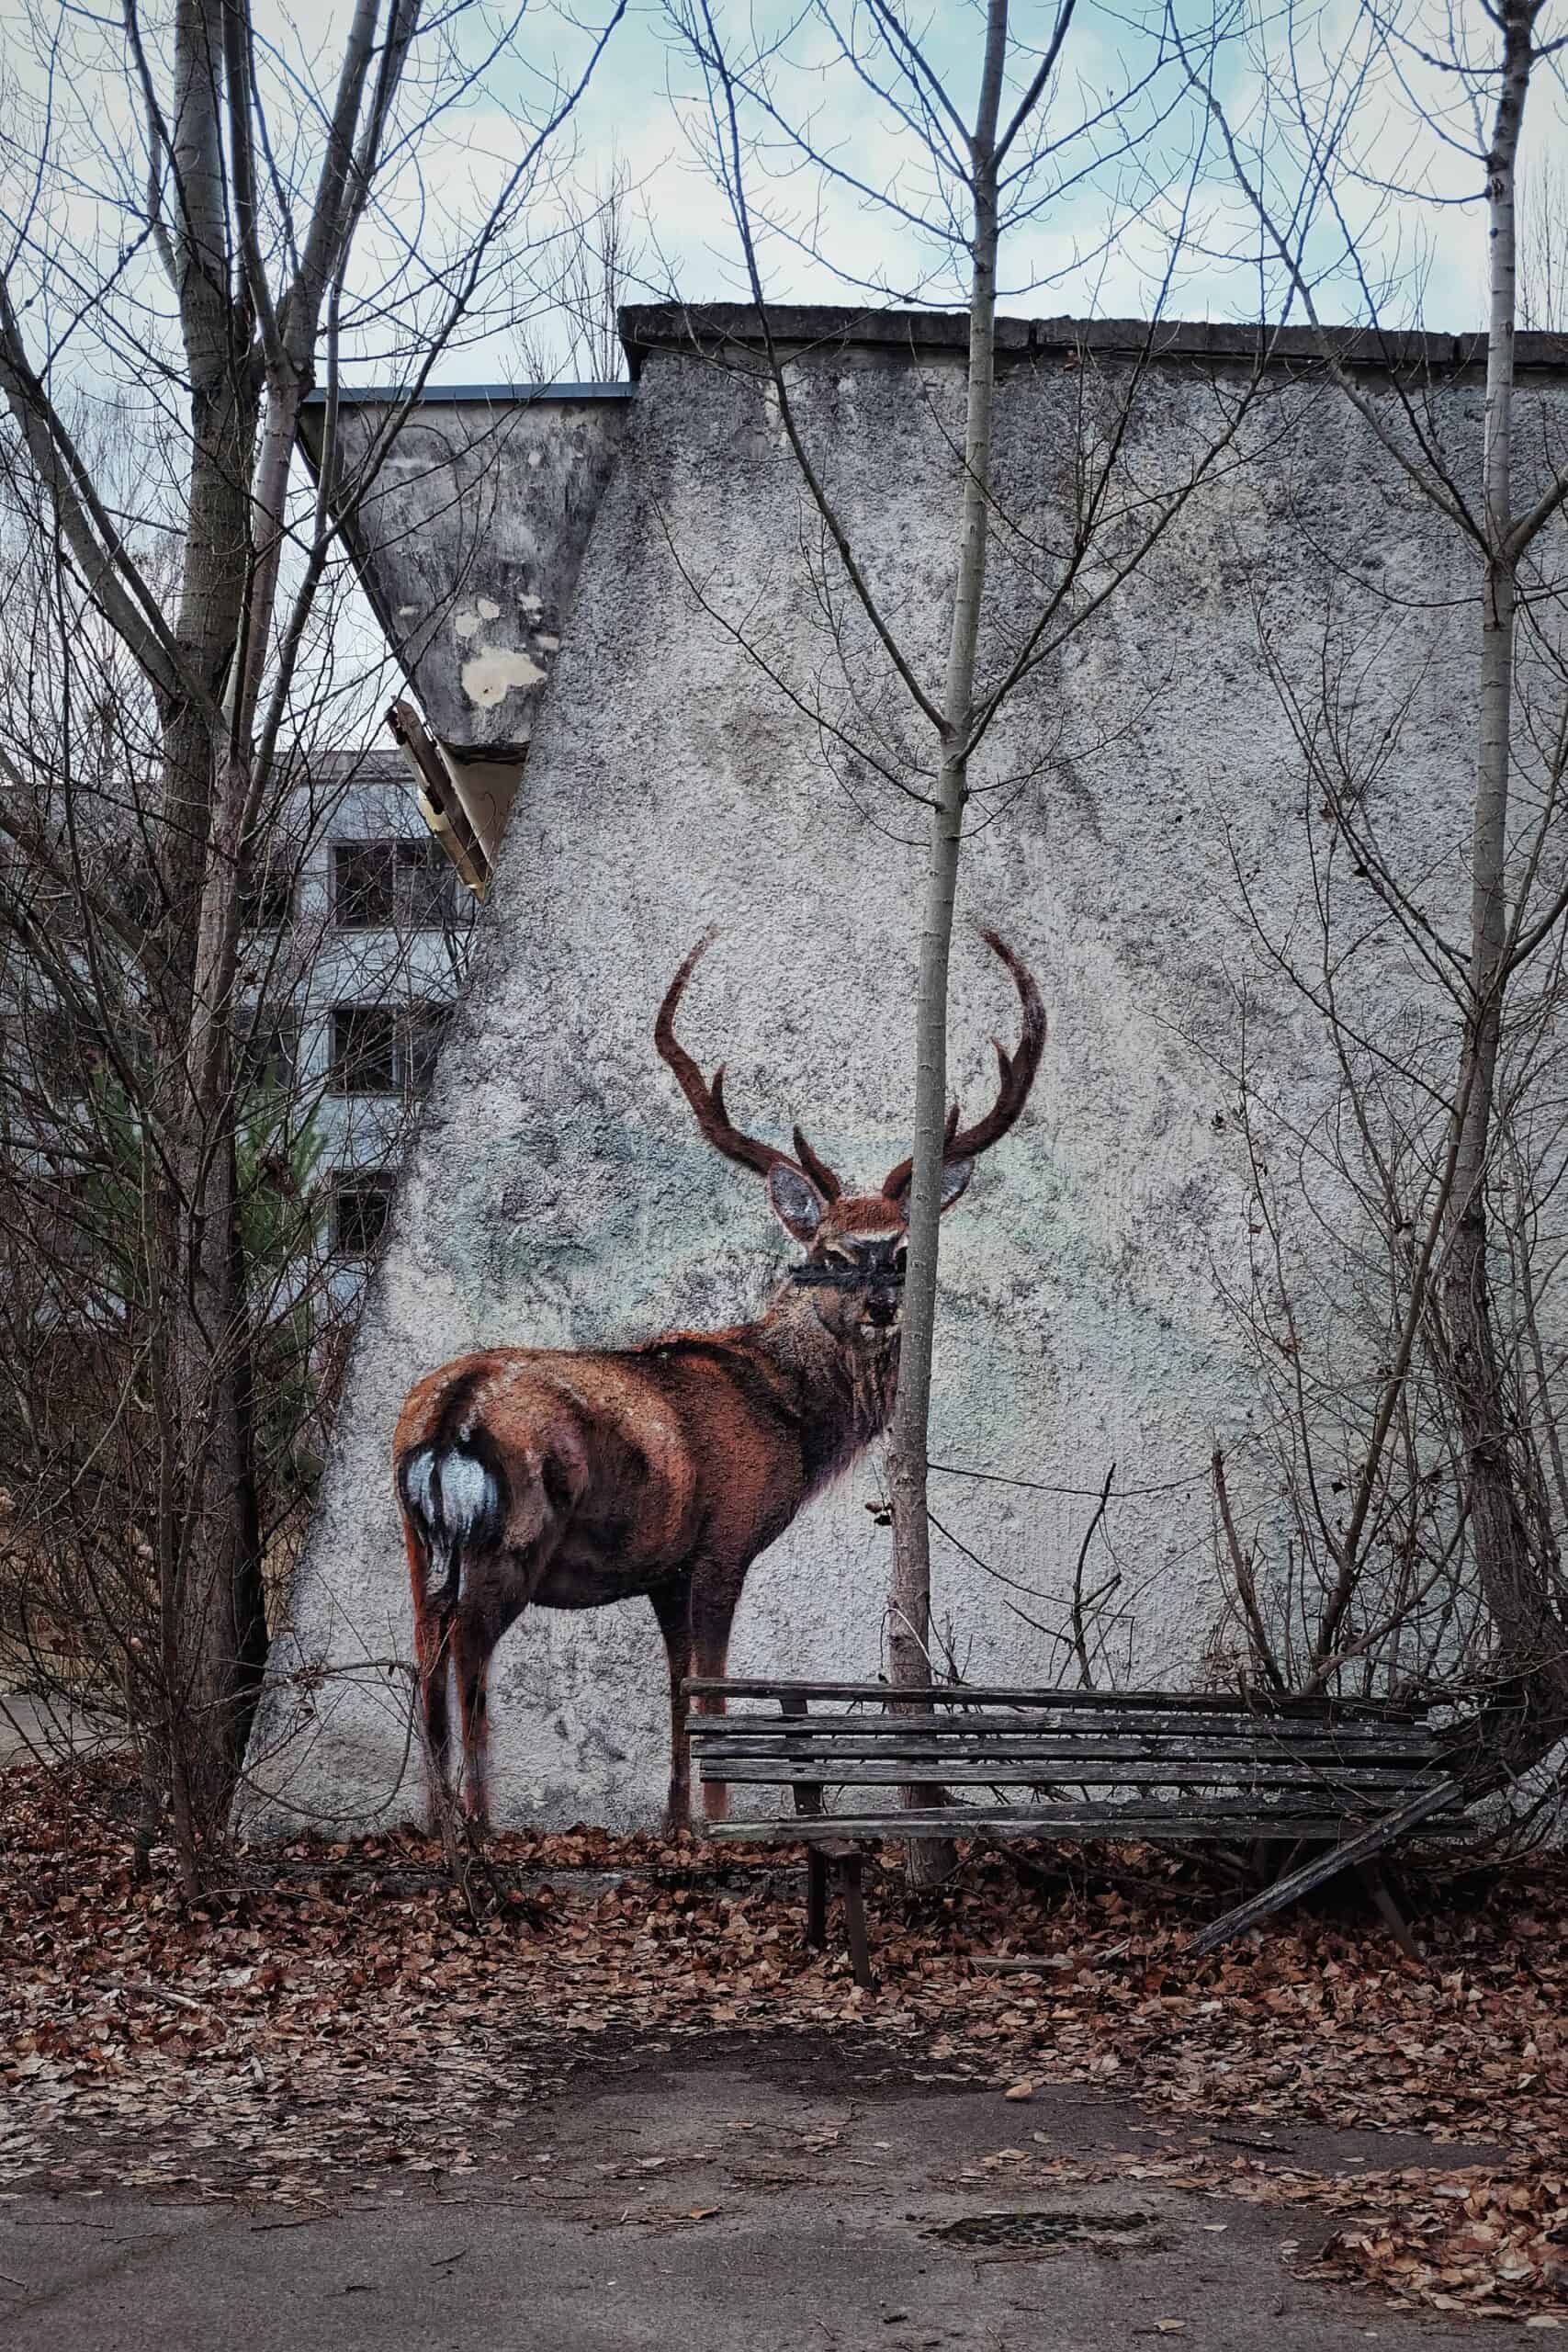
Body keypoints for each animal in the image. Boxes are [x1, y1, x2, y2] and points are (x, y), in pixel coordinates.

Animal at [393, 925, 1045, 1833]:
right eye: (830, 1254)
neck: (790, 1416)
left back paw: (435, 1827)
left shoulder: (665, 1571)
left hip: (414, 1543)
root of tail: (448, 1416)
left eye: (902, 1253)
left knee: (422, 1660)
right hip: (507, 1539)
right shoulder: (722, 1544)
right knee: (469, 1664)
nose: (882, 1306)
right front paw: (717, 1820)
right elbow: (712, 1691)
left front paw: (677, 1825)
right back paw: (480, 1829)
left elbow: (678, 1694)